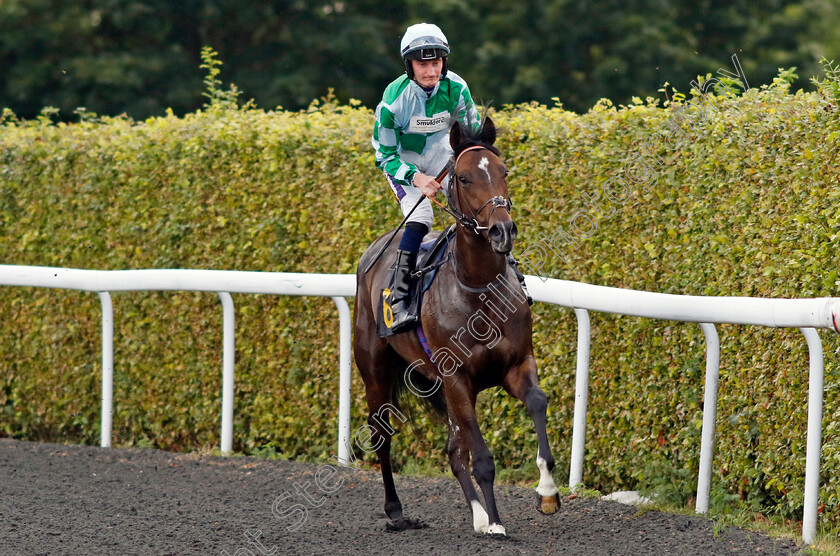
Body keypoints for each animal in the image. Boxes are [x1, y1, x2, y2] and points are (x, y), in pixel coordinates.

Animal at [352, 116, 560, 536]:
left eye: (503, 171)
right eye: (463, 178)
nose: (502, 230)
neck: (477, 287)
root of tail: (373, 252)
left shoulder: (516, 363)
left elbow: (536, 402)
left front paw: (546, 493)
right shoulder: (457, 377)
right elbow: (481, 457)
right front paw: (496, 523)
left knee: (451, 449)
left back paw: (477, 515)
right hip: (375, 371)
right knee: (383, 436)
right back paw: (396, 511)